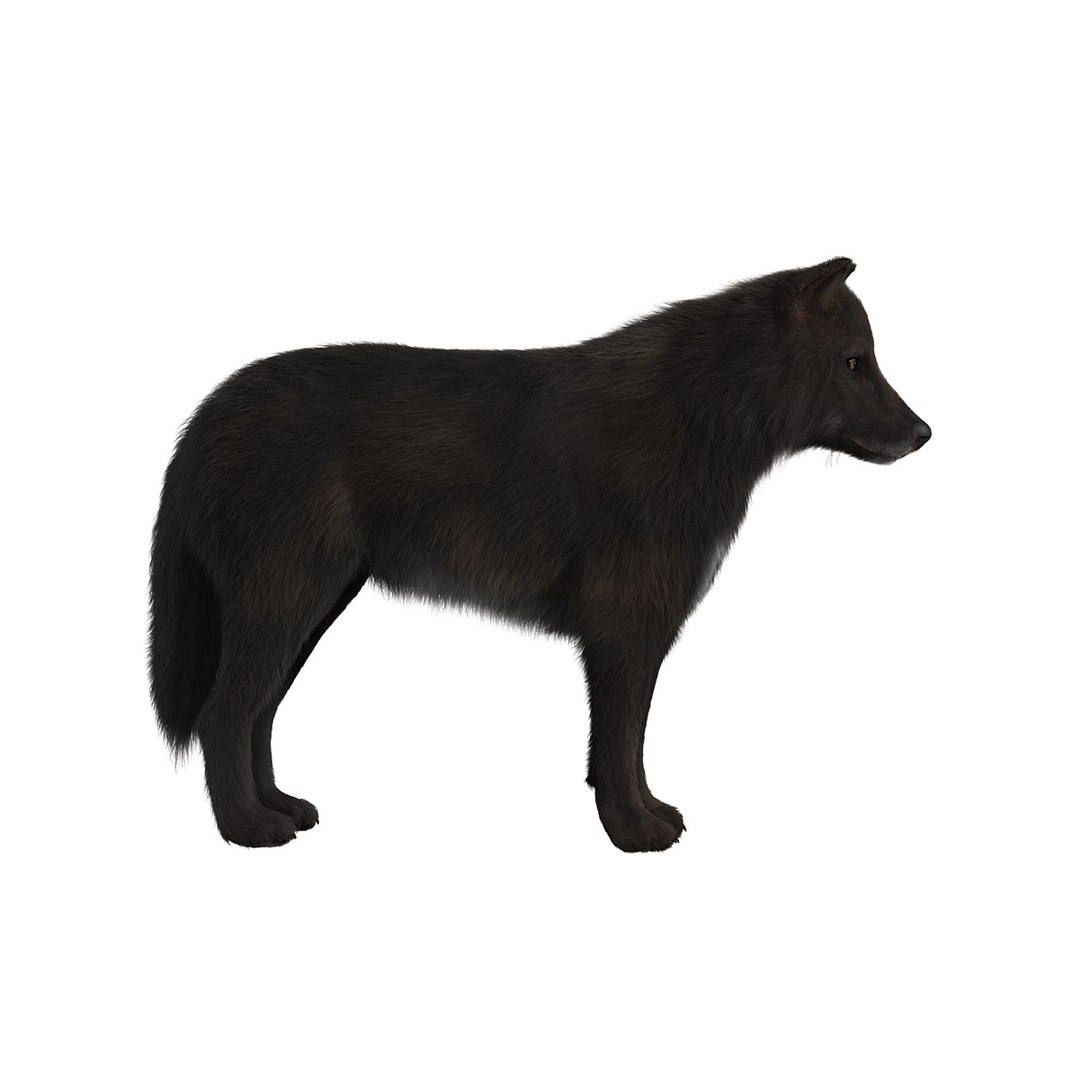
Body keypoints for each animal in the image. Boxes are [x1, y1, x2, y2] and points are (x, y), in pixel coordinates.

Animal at [149, 257, 931, 850]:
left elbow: (626, 746)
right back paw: (248, 829)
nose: (924, 433)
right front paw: (632, 833)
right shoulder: (623, 634)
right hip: (286, 603)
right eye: (855, 362)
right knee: (225, 714)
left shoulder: (634, 638)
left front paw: (645, 815)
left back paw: (279, 806)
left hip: (308, 610)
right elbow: (617, 745)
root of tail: (206, 414)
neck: (698, 418)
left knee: (257, 713)